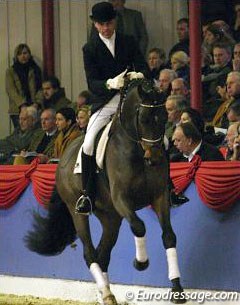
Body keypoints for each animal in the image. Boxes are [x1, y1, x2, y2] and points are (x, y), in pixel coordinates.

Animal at [26, 79, 187, 304]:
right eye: (143, 118)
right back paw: (107, 293)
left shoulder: (159, 196)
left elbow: (169, 236)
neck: (137, 151)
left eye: (165, 117)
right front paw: (141, 263)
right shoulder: (121, 198)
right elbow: (139, 227)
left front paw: (177, 290)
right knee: (90, 254)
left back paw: (105, 294)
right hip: (78, 211)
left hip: (111, 217)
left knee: (103, 255)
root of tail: (62, 157)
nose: (154, 158)